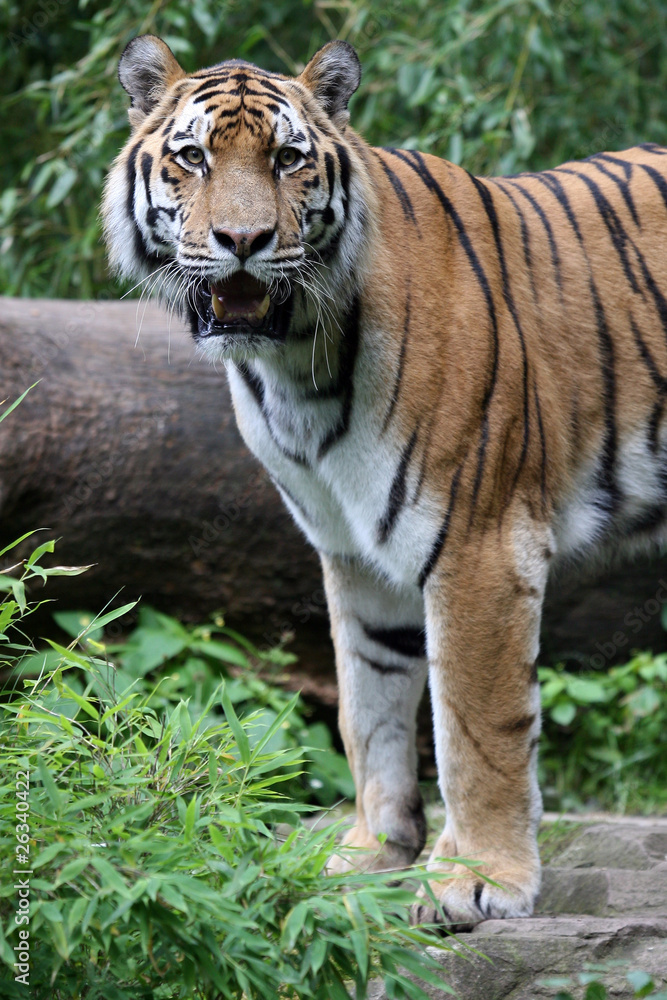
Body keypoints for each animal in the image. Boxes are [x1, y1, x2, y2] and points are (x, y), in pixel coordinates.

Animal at [102, 37, 667, 928]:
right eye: (192, 158)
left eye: (287, 158)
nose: (242, 238)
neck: (292, 363)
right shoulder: (351, 548)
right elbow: (367, 706)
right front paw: (370, 856)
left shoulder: (480, 542)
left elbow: (476, 725)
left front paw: (478, 878)